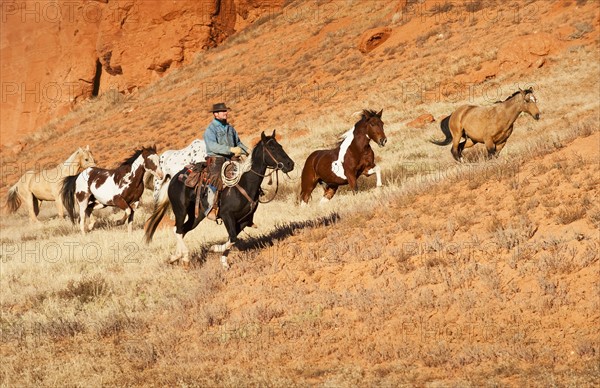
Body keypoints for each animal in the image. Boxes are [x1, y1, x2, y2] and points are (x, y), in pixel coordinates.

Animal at [145, 131, 296, 270]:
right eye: (272, 148)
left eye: (280, 146)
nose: (290, 164)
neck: (244, 183)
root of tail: (173, 179)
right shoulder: (227, 215)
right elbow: (233, 237)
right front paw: (215, 248)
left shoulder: (244, 219)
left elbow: (232, 238)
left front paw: (223, 262)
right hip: (180, 210)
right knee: (177, 229)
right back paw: (185, 258)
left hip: (197, 216)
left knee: (182, 230)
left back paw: (176, 257)